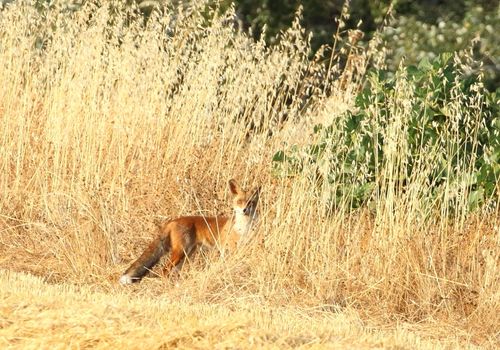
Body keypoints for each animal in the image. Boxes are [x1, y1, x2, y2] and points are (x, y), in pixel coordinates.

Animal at [119, 179, 260, 284]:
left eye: (251, 202)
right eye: (239, 201)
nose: (244, 210)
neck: (244, 227)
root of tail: (173, 220)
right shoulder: (231, 248)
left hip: (187, 253)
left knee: (173, 271)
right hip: (181, 252)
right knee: (164, 271)